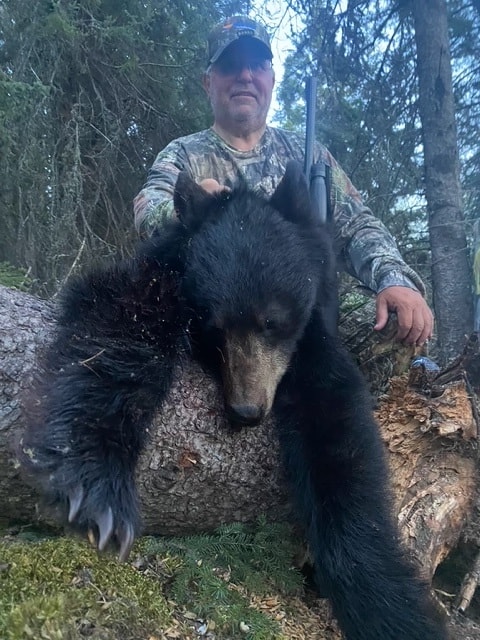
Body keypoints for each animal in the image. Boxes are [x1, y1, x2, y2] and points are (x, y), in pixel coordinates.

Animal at [19, 161, 447, 640]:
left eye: (272, 321)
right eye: (214, 325)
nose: (246, 411)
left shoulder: (313, 345)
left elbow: (340, 437)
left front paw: (389, 607)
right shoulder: (164, 272)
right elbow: (119, 317)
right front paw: (98, 492)